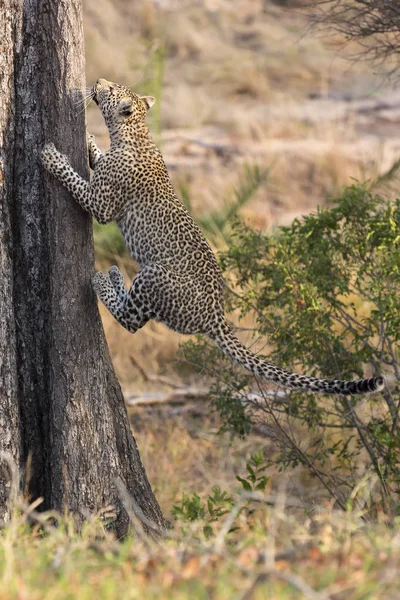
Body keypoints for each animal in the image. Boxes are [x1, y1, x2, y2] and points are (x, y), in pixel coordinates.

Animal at [40, 79, 384, 398]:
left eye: (111, 89)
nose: (98, 81)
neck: (135, 132)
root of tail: (216, 316)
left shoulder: (102, 205)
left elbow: (75, 182)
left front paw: (52, 158)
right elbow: (96, 159)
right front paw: (89, 141)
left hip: (156, 277)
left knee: (131, 319)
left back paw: (101, 281)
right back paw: (113, 275)